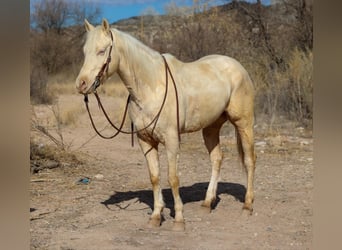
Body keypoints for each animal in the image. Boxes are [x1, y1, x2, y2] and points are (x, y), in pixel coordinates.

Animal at [75, 18, 256, 231]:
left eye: (102, 51)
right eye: (85, 51)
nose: (81, 85)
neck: (151, 87)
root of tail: (238, 67)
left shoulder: (171, 140)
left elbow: (173, 178)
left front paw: (179, 219)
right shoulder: (146, 140)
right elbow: (155, 177)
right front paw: (156, 216)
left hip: (244, 123)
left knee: (250, 160)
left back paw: (247, 206)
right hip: (211, 128)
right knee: (217, 159)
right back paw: (207, 203)